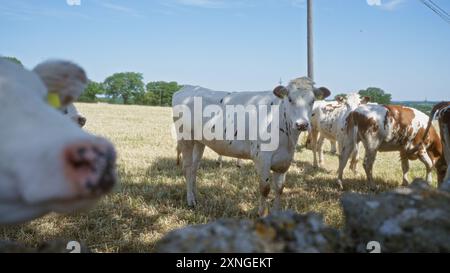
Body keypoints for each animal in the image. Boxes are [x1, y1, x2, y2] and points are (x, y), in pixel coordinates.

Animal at [173, 77, 330, 216]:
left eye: (312, 101)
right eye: (290, 99)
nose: (302, 124)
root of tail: (188, 87)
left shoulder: (284, 161)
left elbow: (279, 188)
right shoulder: (262, 158)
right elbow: (265, 188)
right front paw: (262, 214)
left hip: (199, 142)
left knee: (194, 168)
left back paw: (195, 196)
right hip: (185, 138)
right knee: (188, 168)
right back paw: (190, 200)